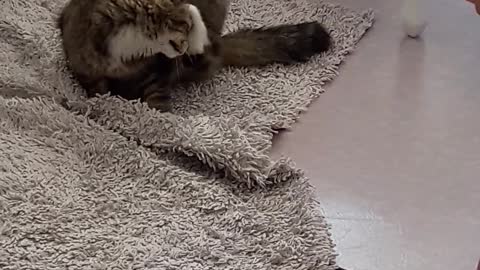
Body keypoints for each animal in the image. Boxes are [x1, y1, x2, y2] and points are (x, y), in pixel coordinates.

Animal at [58, 0, 332, 110]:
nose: (184, 48)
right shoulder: (86, 68)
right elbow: (98, 90)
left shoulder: (158, 73)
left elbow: (156, 104)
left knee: (209, 55)